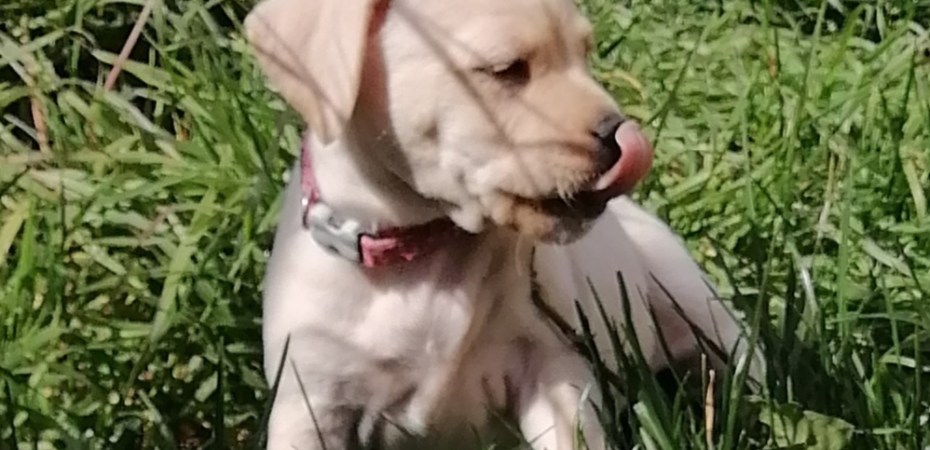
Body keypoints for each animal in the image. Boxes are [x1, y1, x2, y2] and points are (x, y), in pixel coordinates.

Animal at [245, 0, 765, 448]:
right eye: (505, 70)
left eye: (584, 54)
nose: (624, 138)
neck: (423, 246)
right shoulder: (311, 399)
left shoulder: (552, 368)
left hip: (691, 300)